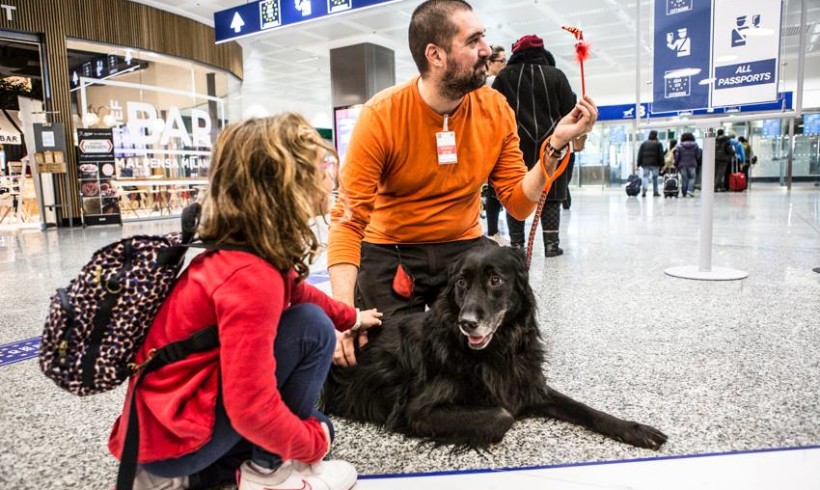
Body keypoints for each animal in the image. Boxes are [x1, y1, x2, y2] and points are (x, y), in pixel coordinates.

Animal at [320, 247, 668, 450]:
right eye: (461, 282)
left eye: (495, 280)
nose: (467, 323)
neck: (493, 351)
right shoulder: (418, 410)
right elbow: (503, 415)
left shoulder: (527, 384)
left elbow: (584, 409)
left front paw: (636, 430)